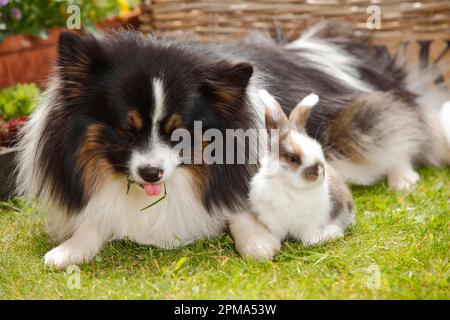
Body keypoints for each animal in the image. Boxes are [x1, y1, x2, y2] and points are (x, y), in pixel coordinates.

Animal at [250, 89, 356, 249]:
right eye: (293, 158)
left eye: (318, 148)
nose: (320, 172)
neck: (290, 188)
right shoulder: (273, 221)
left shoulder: (310, 224)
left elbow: (309, 239)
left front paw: (325, 237)